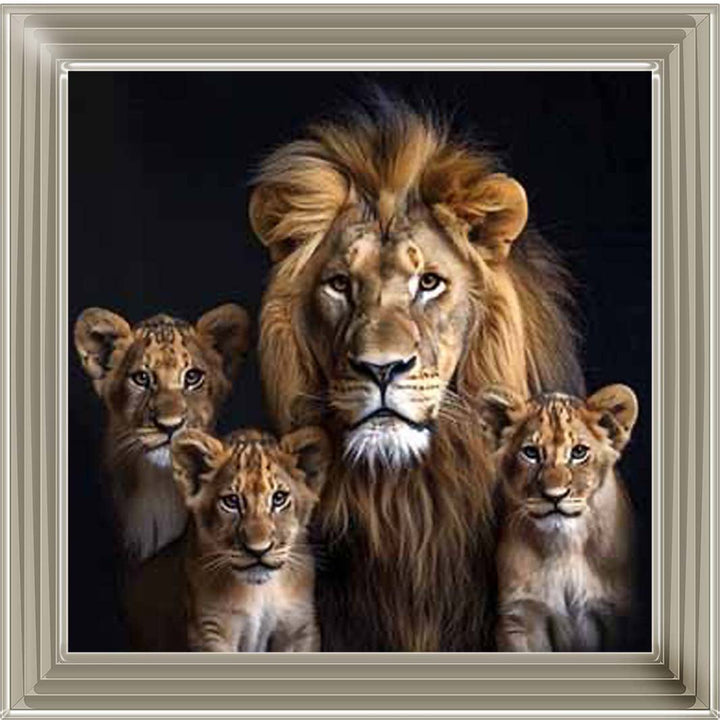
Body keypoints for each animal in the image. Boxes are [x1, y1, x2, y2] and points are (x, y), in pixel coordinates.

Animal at [479, 384, 637, 651]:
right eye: (530, 453)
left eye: (579, 452)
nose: (555, 496)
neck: (565, 545)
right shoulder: (521, 618)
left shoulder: (619, 612)